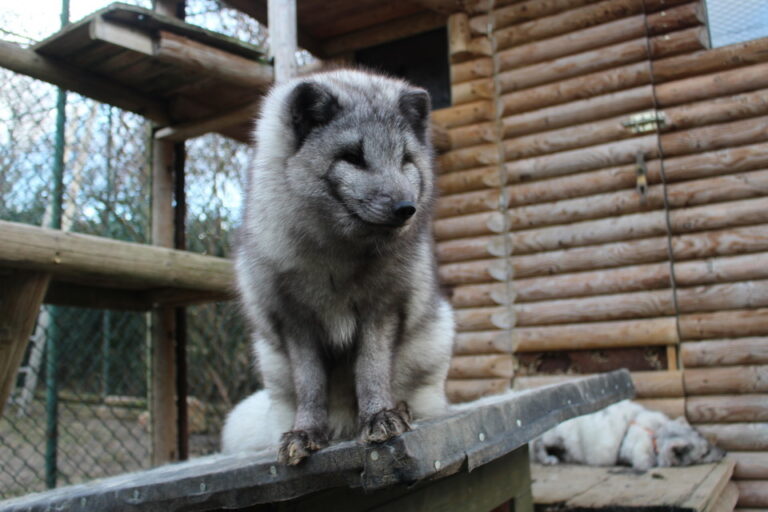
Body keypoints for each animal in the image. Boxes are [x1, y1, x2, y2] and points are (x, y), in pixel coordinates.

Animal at [220, 69, 456, 464]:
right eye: (352, 157)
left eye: (405, 159)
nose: (406, 208)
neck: (339, 258)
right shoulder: (294, 321)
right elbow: (310, 386)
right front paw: (305, 433)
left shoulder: (383, 309)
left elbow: (371, 372)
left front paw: (380, 416)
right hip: (270, 361)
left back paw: (402, 409)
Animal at [532, 402, 724, 470]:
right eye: (704, 453)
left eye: (707, 442)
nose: (724, 454)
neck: (654, 435)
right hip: (553, 437)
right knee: (537, 446)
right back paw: (548, 459)